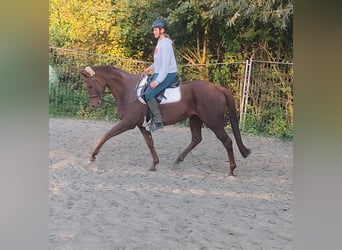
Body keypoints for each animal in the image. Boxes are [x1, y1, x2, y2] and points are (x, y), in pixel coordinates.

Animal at [80, 65, 251, 177]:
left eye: (90, 86)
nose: (94, 105)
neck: (128, 90)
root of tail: (218, 88)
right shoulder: (141, 125)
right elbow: (150, 143)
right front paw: (154, 164)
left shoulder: (128, 123)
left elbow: (106, 135)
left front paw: (92, 156)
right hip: (195, 119)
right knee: (196, 139)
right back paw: (177, 161)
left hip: (214, 122)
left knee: (227, 141)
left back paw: (231, 169)